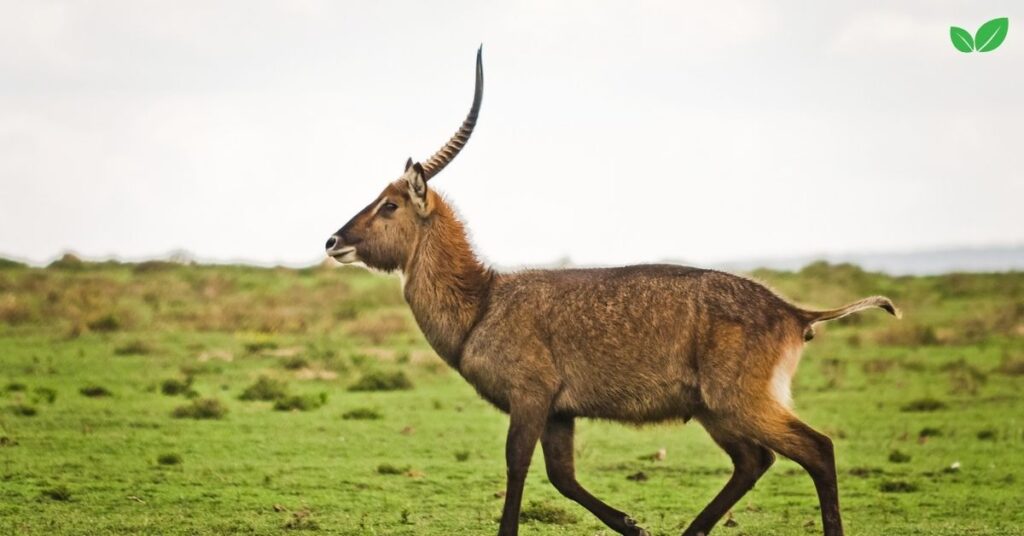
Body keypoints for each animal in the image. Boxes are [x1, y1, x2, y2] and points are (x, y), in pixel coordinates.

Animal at [325, 47, 897, 536]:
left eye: (390, 204)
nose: (333, 241)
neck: (483, 302)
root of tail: (793, 311)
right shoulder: (560, 411)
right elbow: (563, 477)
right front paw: (633, 524)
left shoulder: (530, 398)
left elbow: (517, 467)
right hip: (714, 409)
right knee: (754, 460)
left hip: (740, 401)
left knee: (816, 448)